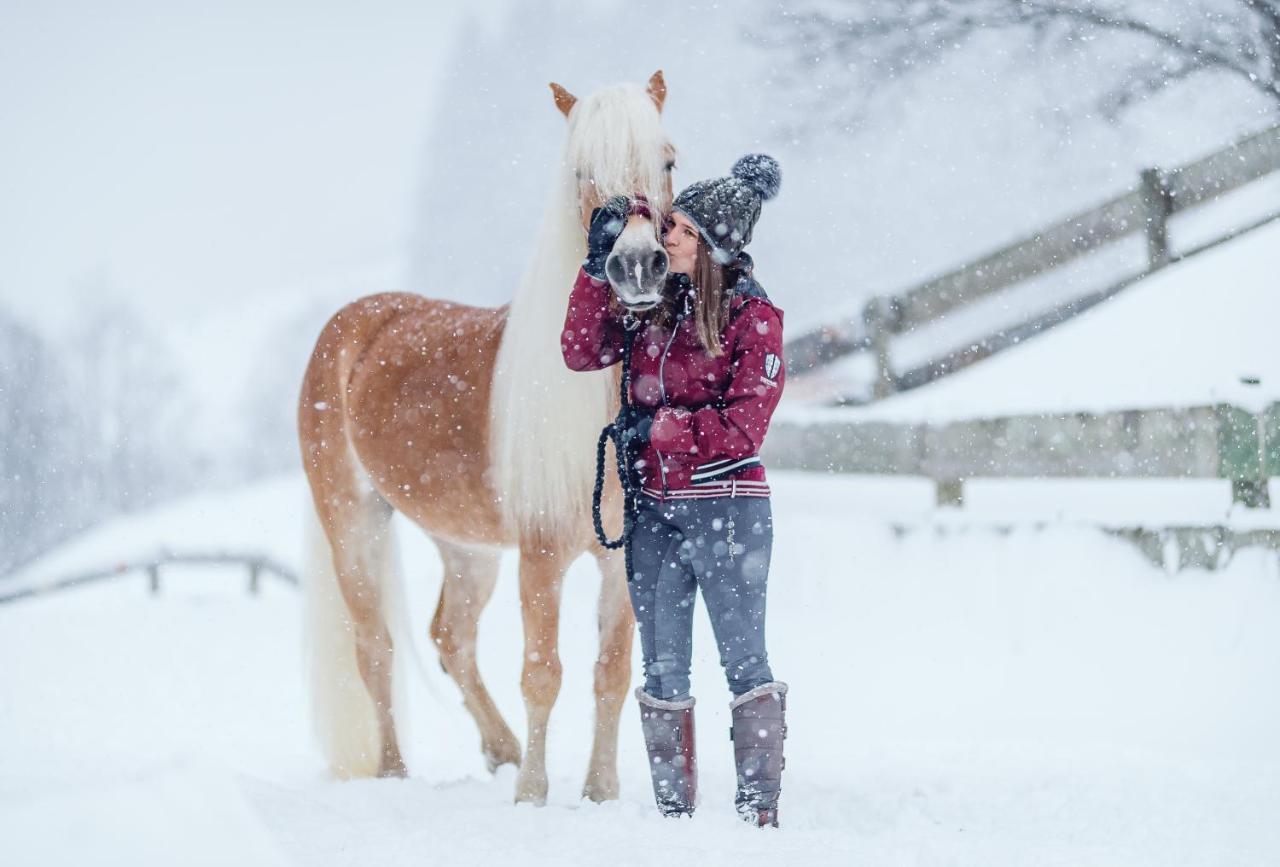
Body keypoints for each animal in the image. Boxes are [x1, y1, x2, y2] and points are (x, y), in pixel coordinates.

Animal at [300, 69, 680, 804]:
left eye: (667, 161)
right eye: (581, 172)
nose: (637, 267)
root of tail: (350, 324)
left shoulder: (621, 556)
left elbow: (611, 671)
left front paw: (600, 792)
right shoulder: (541, 552)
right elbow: (542, 671)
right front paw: (532, 795)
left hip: (466, 548)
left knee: (450, 638)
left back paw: (499, 750)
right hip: (354, 524)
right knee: (376, 648)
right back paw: (397, 773)